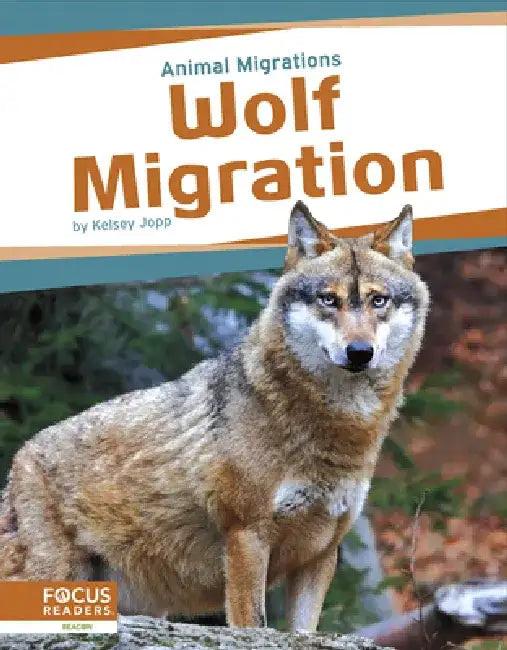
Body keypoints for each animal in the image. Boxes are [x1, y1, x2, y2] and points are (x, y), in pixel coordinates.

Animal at [0, 201, 429, 631]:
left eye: (378, 301)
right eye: (328, 300)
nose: (360, 352)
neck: (338, 431)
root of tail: (19, 458)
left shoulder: (322, 553)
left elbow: (304, 631)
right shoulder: (247, 536)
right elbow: (251, 623)